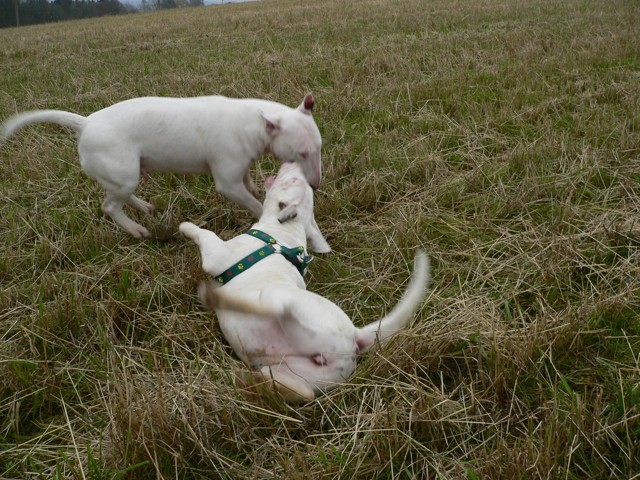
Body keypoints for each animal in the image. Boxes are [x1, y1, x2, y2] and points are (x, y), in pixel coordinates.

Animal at [0, 94, 321, 238]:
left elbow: (249, 181)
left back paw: (144, 208)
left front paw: (255, 186)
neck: (253, 123)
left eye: (319, 148)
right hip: (123, 173)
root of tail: (86, 123)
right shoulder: (227, 182)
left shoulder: (241, 165)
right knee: (109, 206)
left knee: (120, 196)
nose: (316, 185)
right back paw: (137, 230)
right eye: (300, 154)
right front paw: (261, 214)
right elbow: (251, 201)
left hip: (126, 175)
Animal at [180, 162, 430, 402]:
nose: (297, 165)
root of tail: (356, 336)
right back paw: (248, 380)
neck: (284, 233)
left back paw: (216, 299)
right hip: (299, 374)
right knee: (299, 390)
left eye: (291, 180)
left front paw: (185, 226)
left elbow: (203, 233)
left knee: (279, 309)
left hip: (277, 296)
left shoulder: (218, 254)